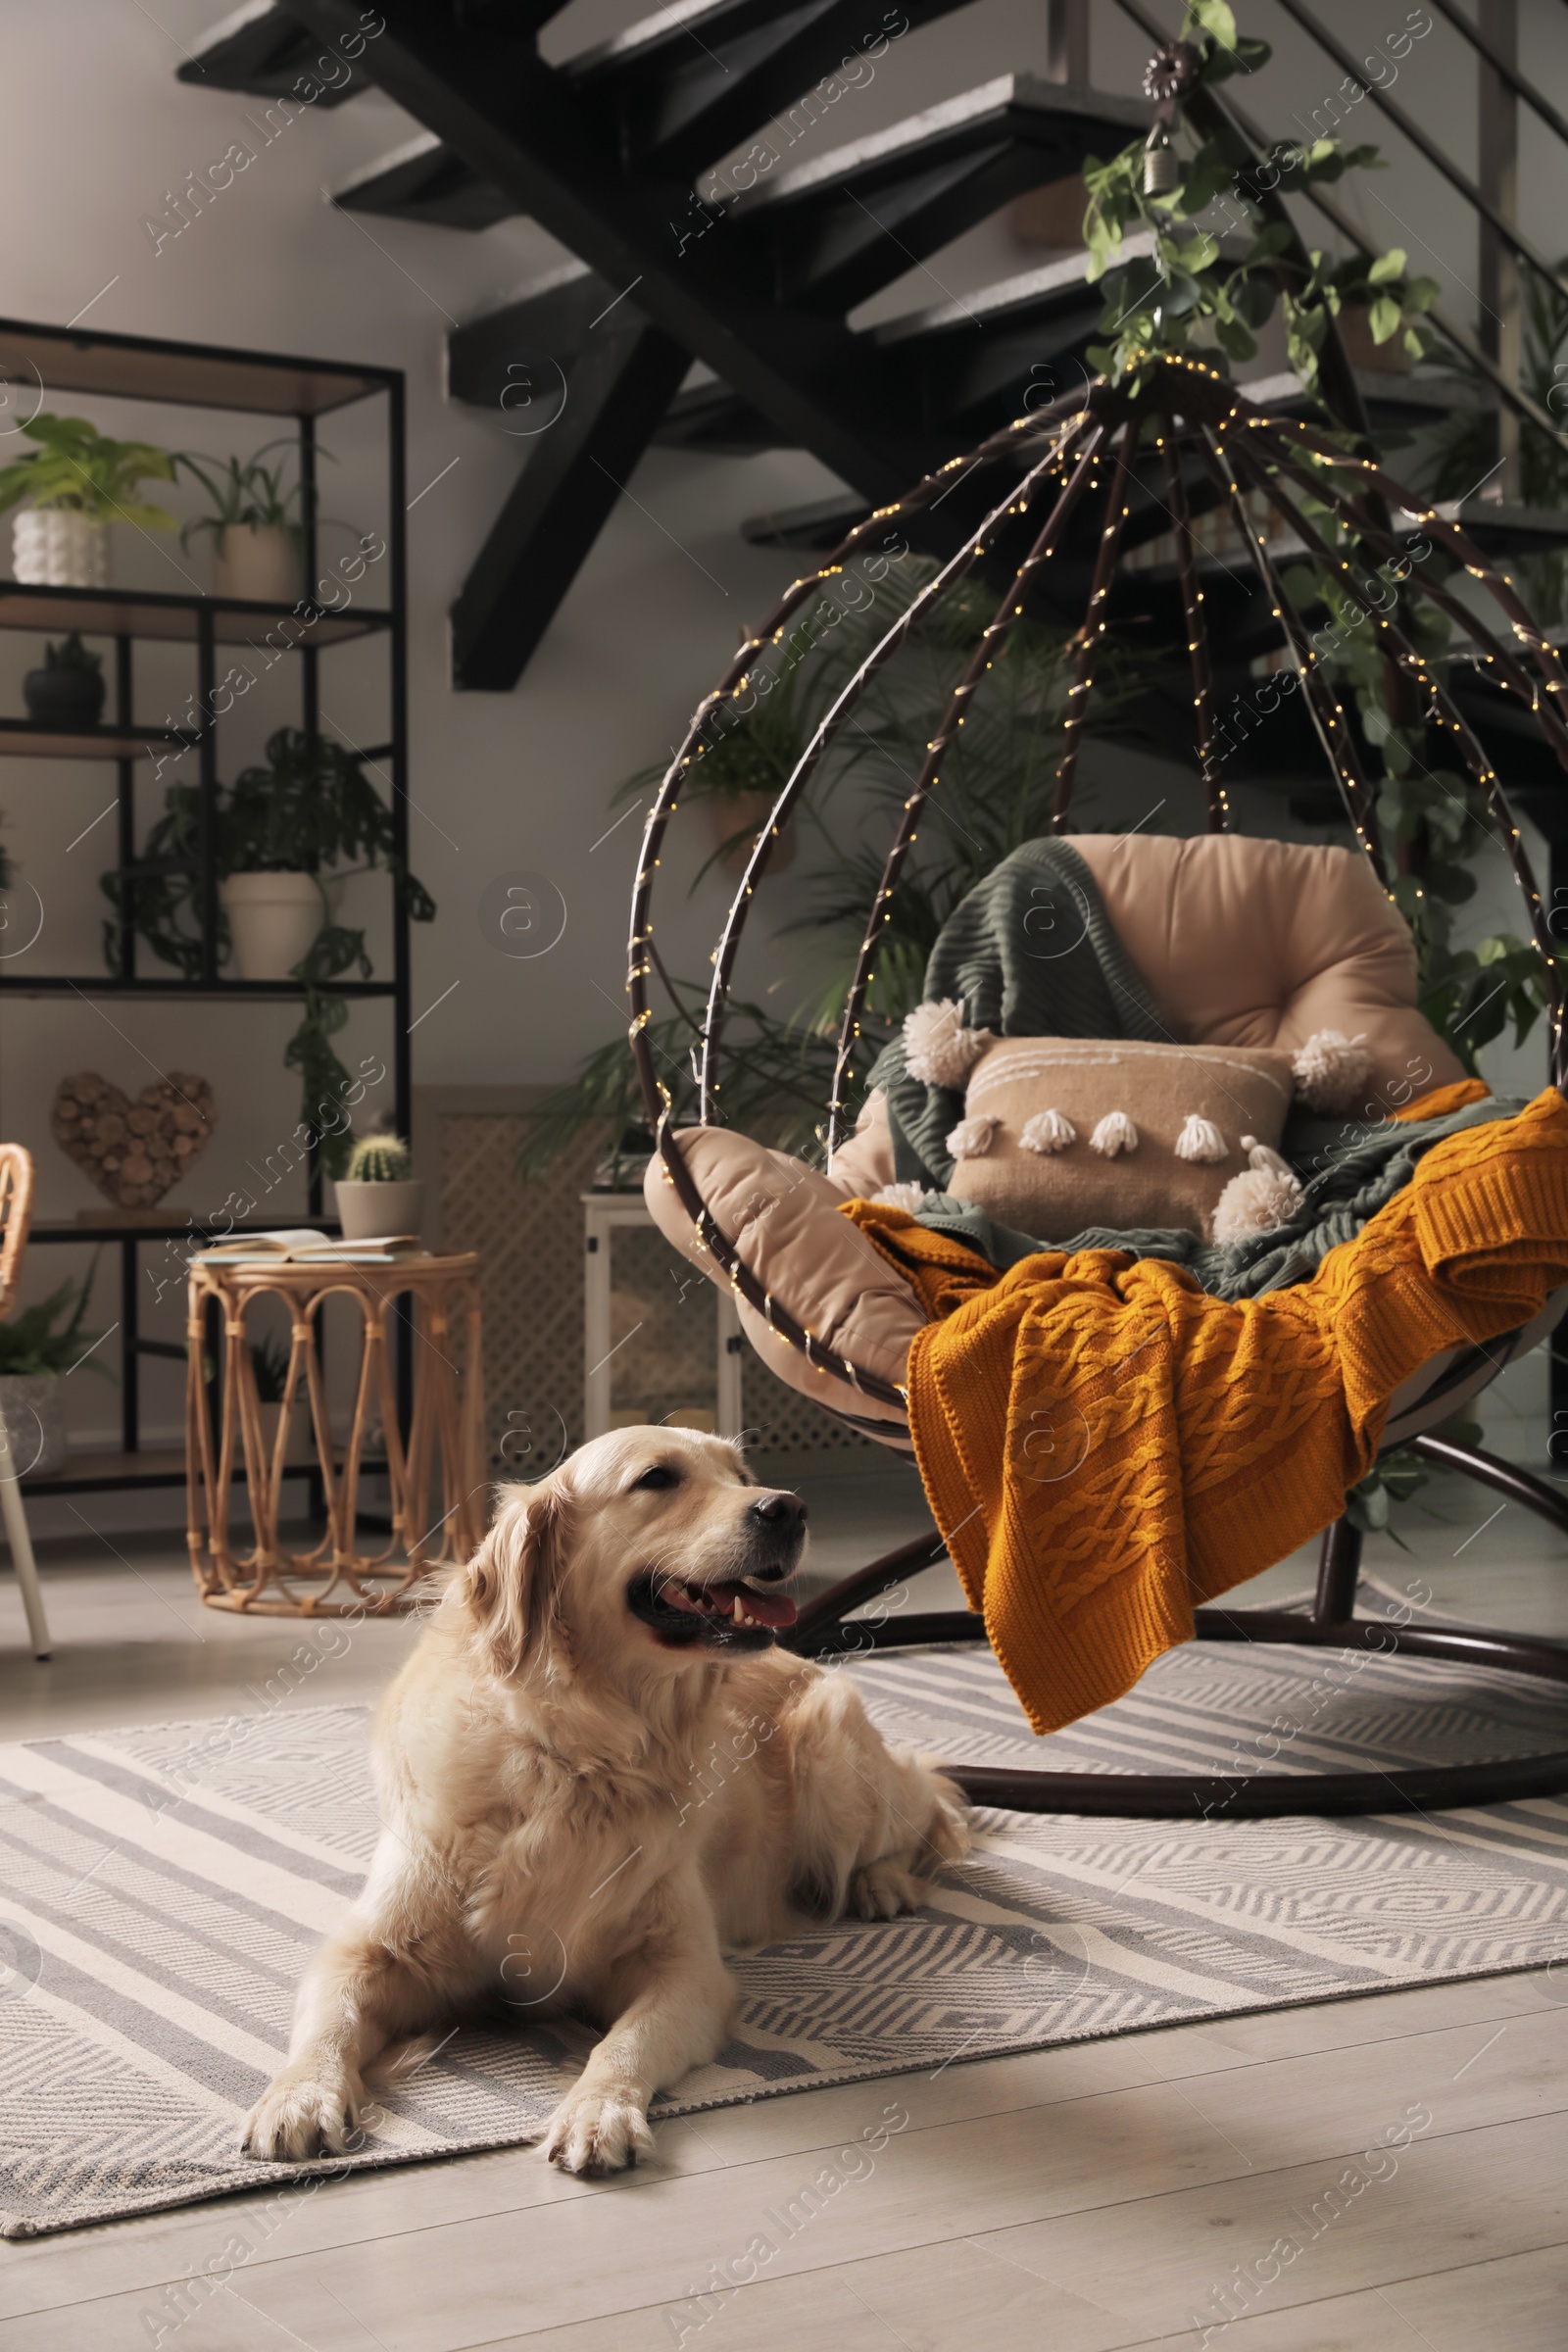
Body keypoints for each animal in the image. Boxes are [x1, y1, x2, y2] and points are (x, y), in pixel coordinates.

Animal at [245, 1420, 968, 2173]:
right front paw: (298, 2097)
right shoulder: (368, 1948)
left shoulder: (686, 1969)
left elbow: (624, 2042)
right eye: (657, 1478)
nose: (789, 1508)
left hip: (833, 1749)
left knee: (929, 1805)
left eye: (741, 1474)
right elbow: (330, 2022)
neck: (579, 1751)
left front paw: (598, 2112)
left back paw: (883, 1883)